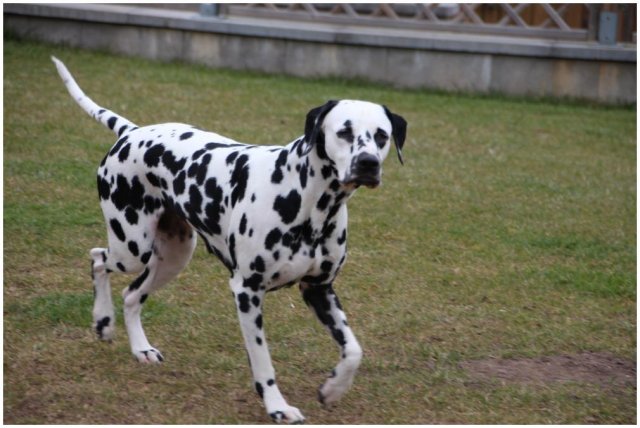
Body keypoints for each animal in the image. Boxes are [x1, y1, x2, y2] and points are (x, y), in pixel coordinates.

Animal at [52, 56, 406, 423]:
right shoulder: (247, 292)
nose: (368, 163)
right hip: (131, 248)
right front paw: (277, 407)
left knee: (132, 294)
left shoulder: (319, 289)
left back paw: (140, 348)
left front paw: (333, 388)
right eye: (344, 132)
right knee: (98, 258)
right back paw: (102, 321)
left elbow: (353, 350)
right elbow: (263, 362)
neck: (308, 199)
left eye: (381, 135)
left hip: (173, 257)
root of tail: (132, 132)